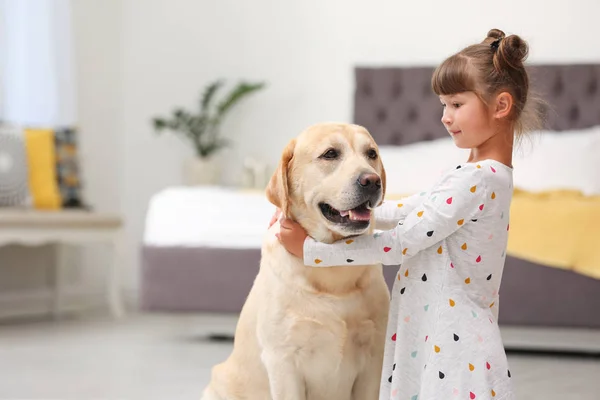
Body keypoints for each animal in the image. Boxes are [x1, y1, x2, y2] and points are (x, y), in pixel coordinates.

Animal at [202, 122, 390, 400]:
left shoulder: (374, 357)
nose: (372, 181)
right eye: (330, 154)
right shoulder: (283, 361)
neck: (333, 269)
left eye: (371, 154)